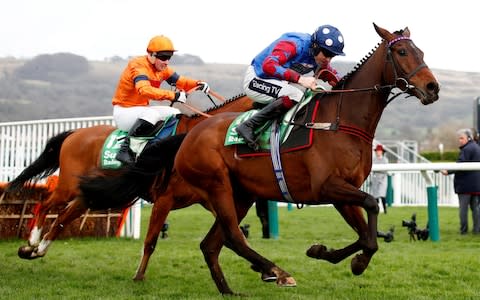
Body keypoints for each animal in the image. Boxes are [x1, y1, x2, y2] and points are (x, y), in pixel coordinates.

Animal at [5, 92, 253, 274]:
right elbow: (151, 241)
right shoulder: (165, 199)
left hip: (88, 195)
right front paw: (138, 277)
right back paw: (33, 240)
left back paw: (35, 250)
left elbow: (234, 230)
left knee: (61, 220)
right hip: (68, 187)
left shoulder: (208, 197)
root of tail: (75, 133)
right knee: (45, 204)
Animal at [79, 24, 438, 296]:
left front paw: (333, 255)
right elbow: (372, 208)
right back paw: (277, 271)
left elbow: (367, 233)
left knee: (212, 244)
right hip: (218, 186)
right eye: (402, 53)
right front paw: (349, 260)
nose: (432, 87)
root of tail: (190, 134)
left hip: (242, 194)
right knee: (232, 237)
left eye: (421, 52)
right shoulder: (327, 187)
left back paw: (229, 289)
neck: (339, 121)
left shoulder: (343, 192)